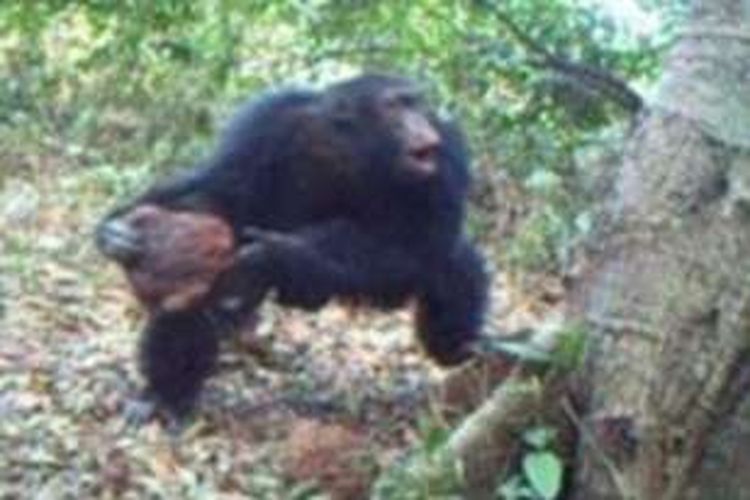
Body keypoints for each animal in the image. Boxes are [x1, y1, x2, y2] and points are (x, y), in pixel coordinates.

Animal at [95, 72, 494, 420]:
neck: (353, 149)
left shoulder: (447, 151)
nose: (421, 121)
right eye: (398, 105)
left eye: (419, 104)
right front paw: (117, 230)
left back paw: (462, 348)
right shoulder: (266, 123)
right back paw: (164, 396)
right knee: (196, 297)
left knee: (456, 263)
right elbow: (221, 186)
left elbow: (417, 239)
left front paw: (274, 255)